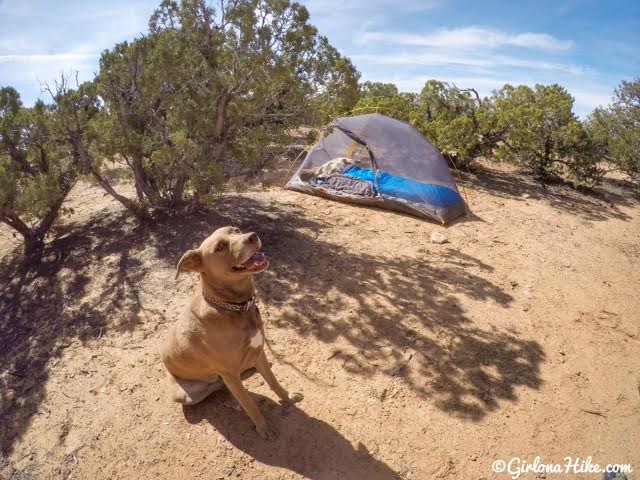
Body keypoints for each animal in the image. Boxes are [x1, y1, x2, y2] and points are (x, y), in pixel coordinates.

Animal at [159, 227, 302, 440]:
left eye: (235, 230)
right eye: (219, 247)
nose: (252, 236)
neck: (235, 308)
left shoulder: (259, 350)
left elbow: (273, 380)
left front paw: (287, 397)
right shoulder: (229, 372)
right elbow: (249, 404)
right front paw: (263, 428)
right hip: (184, 394)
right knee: (219, 385)